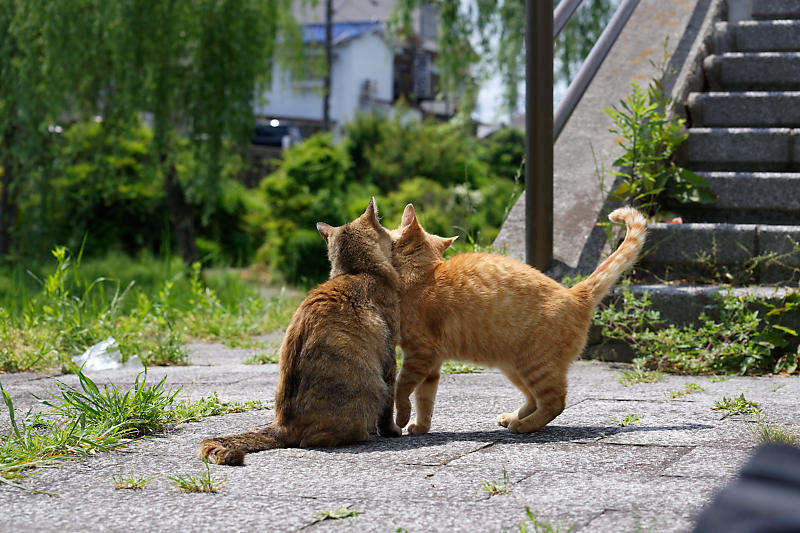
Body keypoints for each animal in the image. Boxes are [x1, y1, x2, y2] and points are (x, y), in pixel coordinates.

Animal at [198, 197, 404, 464]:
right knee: (317, 439)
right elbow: (389, 407)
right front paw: (390, 430)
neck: (358, 272)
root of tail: (282, 425)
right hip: (371, 385)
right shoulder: (390, 357)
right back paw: (362, 433)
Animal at [390, 203, 648, 432]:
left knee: (555, 401)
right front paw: (421, 427)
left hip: (535, 364)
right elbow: (425, 400)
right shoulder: (432, 364)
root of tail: (575, 293)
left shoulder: (419, 354)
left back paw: (524, 425)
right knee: (534, 400)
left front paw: (401, 418)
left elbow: (401, 388)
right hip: (513, 367)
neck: (422, 275)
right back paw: (512, 418)